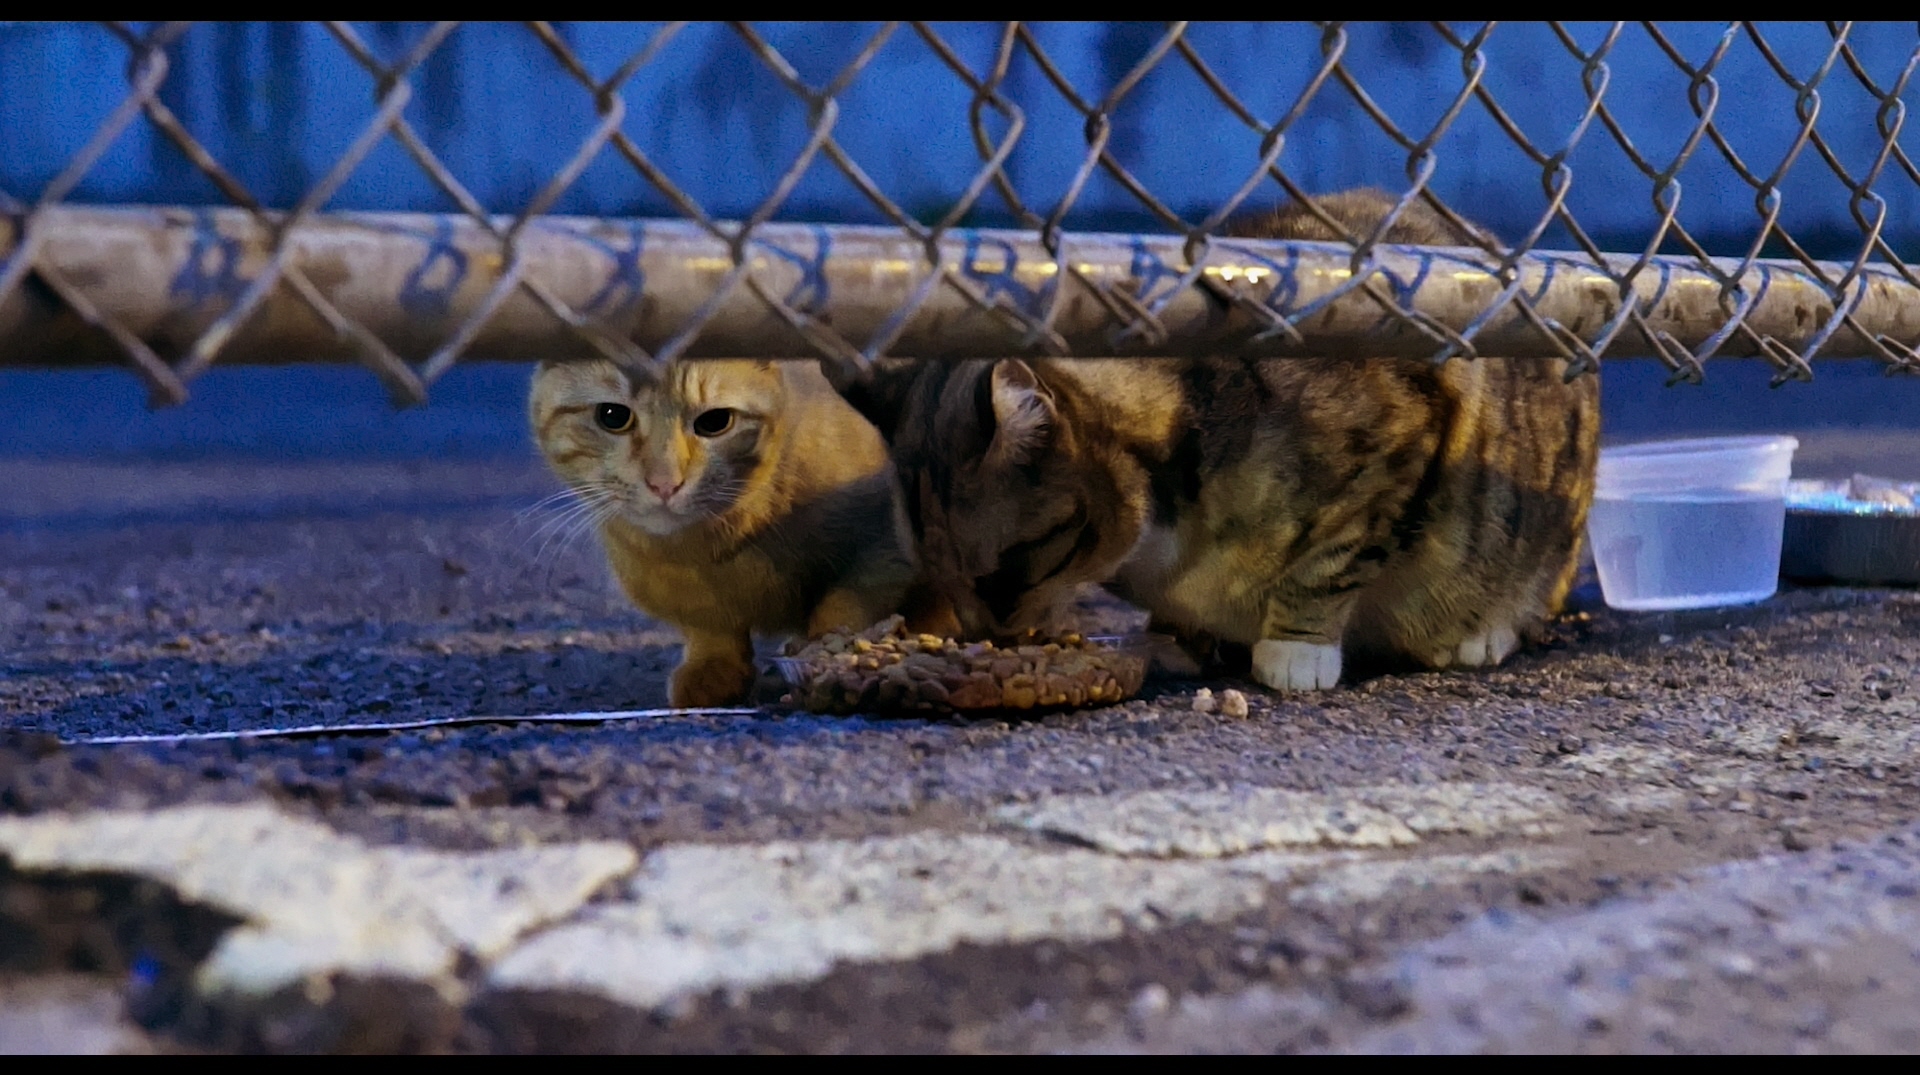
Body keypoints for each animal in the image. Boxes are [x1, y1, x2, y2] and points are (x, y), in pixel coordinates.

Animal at [526, 358, 913, 706]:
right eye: (613, 417)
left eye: (714, 422)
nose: (664, 483)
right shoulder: (687, 599)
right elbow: (712, 630)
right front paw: (715, 669)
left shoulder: (881, 553)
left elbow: (842, 609)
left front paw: (829, 660)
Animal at [844, 189, 1605, 691]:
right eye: (937, 575)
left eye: (1002, 573)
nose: (986, 638)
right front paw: (1181, 638)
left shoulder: (1404, 424)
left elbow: (1332, 558)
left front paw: (1296, 652)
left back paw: (1481, 632)